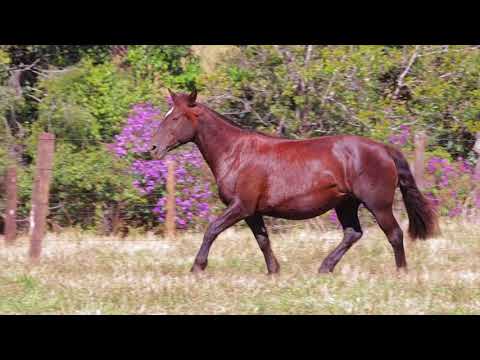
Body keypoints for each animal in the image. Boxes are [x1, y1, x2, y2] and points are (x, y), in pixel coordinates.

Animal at [150, 88, 438, 274]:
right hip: (345, 204)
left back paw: (401, 272)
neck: (235, 153)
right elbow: (263, 240)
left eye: (175, 117)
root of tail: (384, 150)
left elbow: (212, 229)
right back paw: (325, 268)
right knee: (353, 233)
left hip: (378, 205)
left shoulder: (241, 206)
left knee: (394, 234)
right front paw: (274, 271)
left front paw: (197, 267)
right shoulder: (252, 211)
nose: (153, 148)